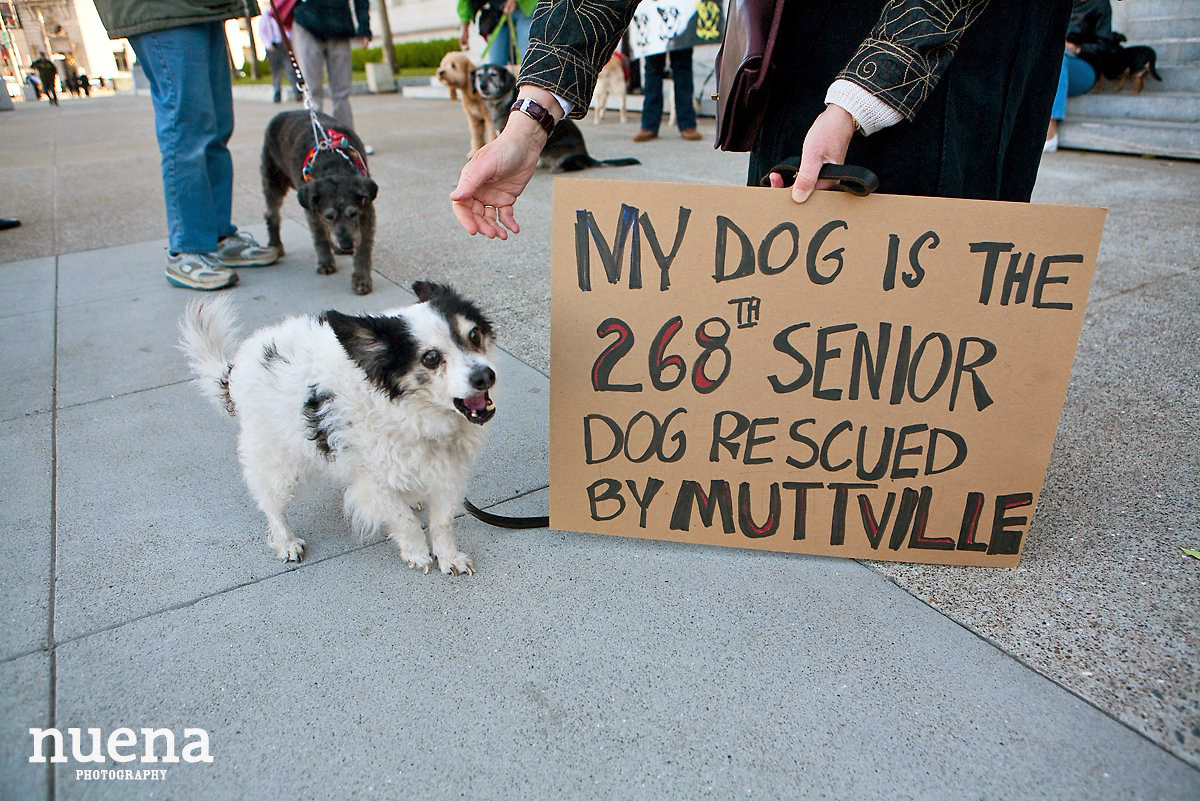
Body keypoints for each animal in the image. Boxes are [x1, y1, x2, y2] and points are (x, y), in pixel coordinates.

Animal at [177, 281, 496, 575]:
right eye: (430, 358)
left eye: (474, 335)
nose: (485, 376)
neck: (413, 412)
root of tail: (236, 368)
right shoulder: (373, 482)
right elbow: (404, 521)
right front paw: (416, 553)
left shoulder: (447, 474)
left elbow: (441, 523)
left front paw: (449, 557)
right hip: (279, 464)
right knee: (270, 505)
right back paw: (286, 541)